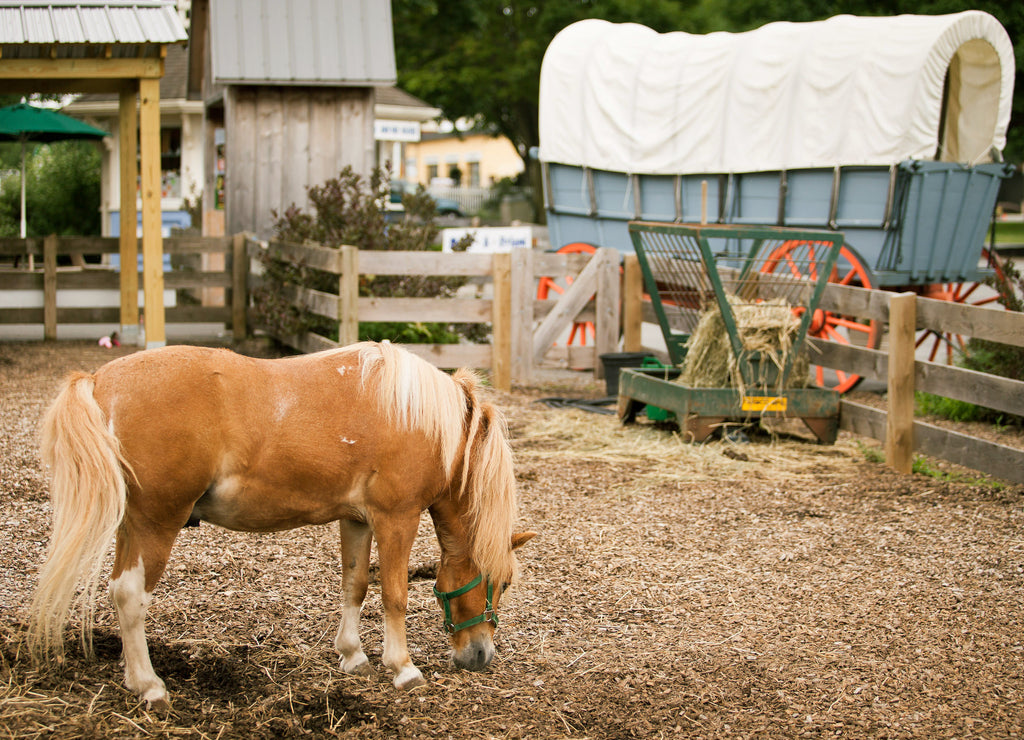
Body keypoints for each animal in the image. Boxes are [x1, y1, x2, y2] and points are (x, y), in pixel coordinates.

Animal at [28, 341, 532, 708]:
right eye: (503, 582)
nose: (481, 656)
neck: (421, 419)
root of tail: (99, 379)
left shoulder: (357, 520)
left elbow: (355, 585)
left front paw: (353, 656)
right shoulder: (396, 519)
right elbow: (394, 594)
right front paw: (403, 668)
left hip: (131, 526)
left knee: (119, 591)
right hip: (157, 524)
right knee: (131, 596)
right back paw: (150, 686)